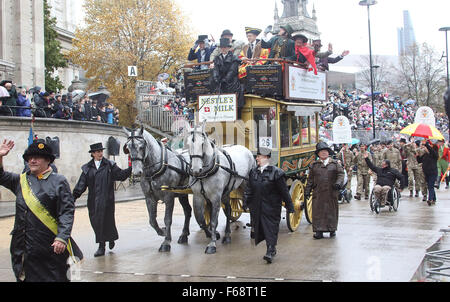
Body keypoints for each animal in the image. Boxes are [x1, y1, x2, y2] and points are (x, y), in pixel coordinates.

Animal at [183, 121, 255, 254]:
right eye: (188, 144)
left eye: (202, 144)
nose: (195, 170)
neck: (205, 173)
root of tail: (245, 149)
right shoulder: (198, 196)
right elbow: (201, 219)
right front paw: (213, 234)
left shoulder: (216, 197)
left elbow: (213, 221)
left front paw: (212, 244)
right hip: (227, 191)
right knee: (229, 209)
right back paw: (227, 235)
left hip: (246, 184)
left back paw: (253, 230)